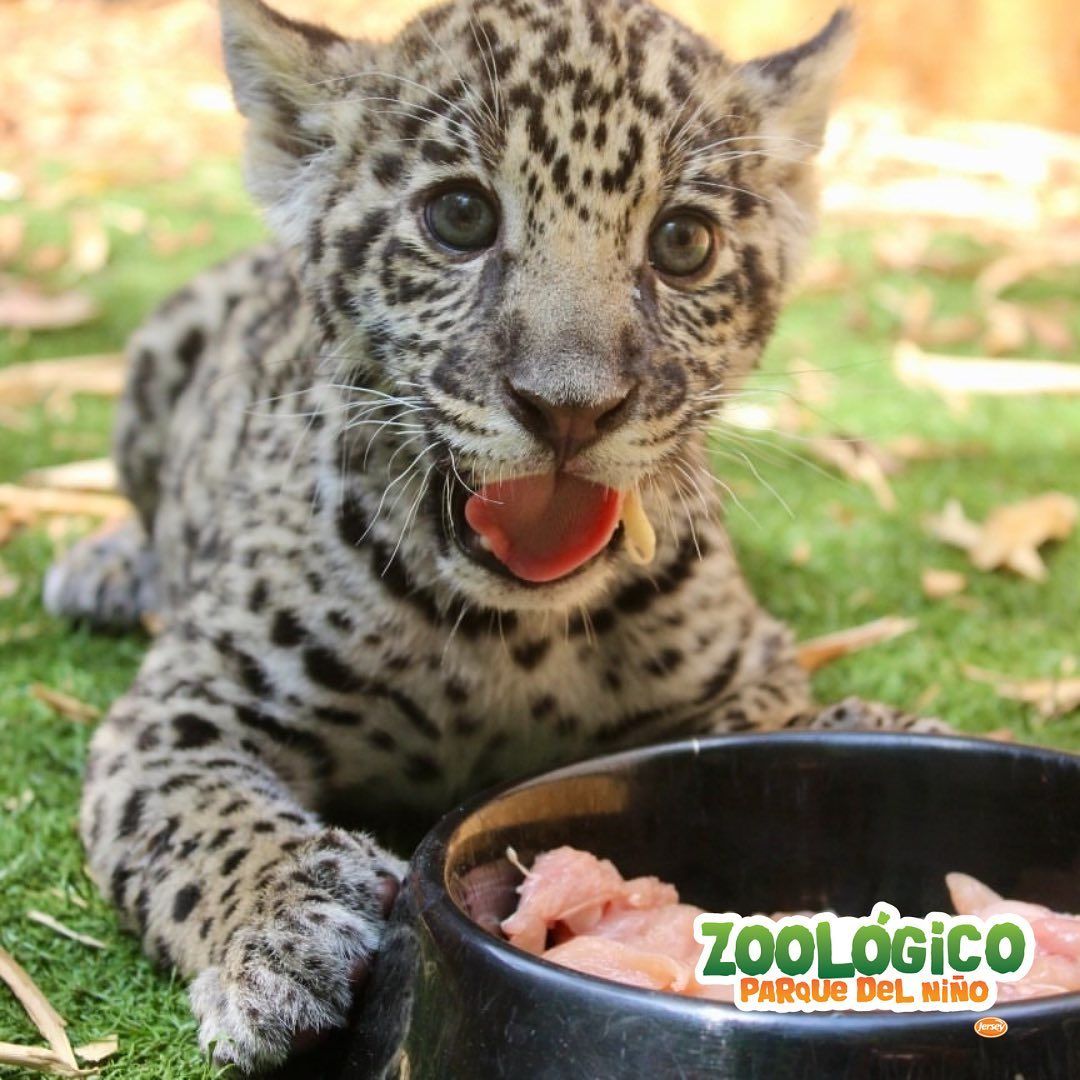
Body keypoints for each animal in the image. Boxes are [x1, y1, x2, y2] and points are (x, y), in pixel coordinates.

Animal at [44, 0, 946, 1072]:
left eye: (683, 240)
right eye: (461, 217)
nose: (570, 409)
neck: (508, 639)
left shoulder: (740, 675)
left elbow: (781, 725)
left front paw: (887, 734)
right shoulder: (187, 703)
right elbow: (197, 818)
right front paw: (285, 931)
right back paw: (104, 567)